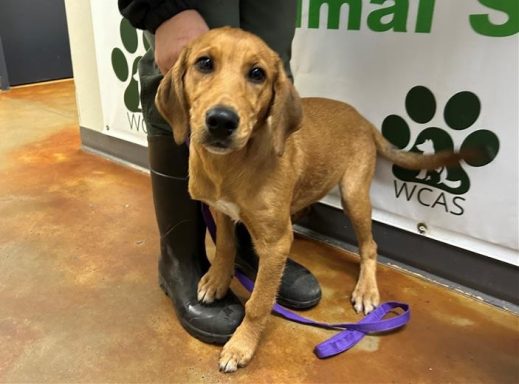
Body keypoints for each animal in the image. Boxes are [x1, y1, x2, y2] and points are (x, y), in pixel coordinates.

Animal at [156, 27, 478, 372]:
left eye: (257, 74)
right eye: (204, 63)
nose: (221, 121)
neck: (230, 166)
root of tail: (363, 119)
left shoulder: (277, 242)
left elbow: (259, 302)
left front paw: (241, 346)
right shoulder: (222, 211)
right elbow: (226, 247)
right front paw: (217, 280)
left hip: (353, 195)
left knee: (370, 246)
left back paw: (367, 289)